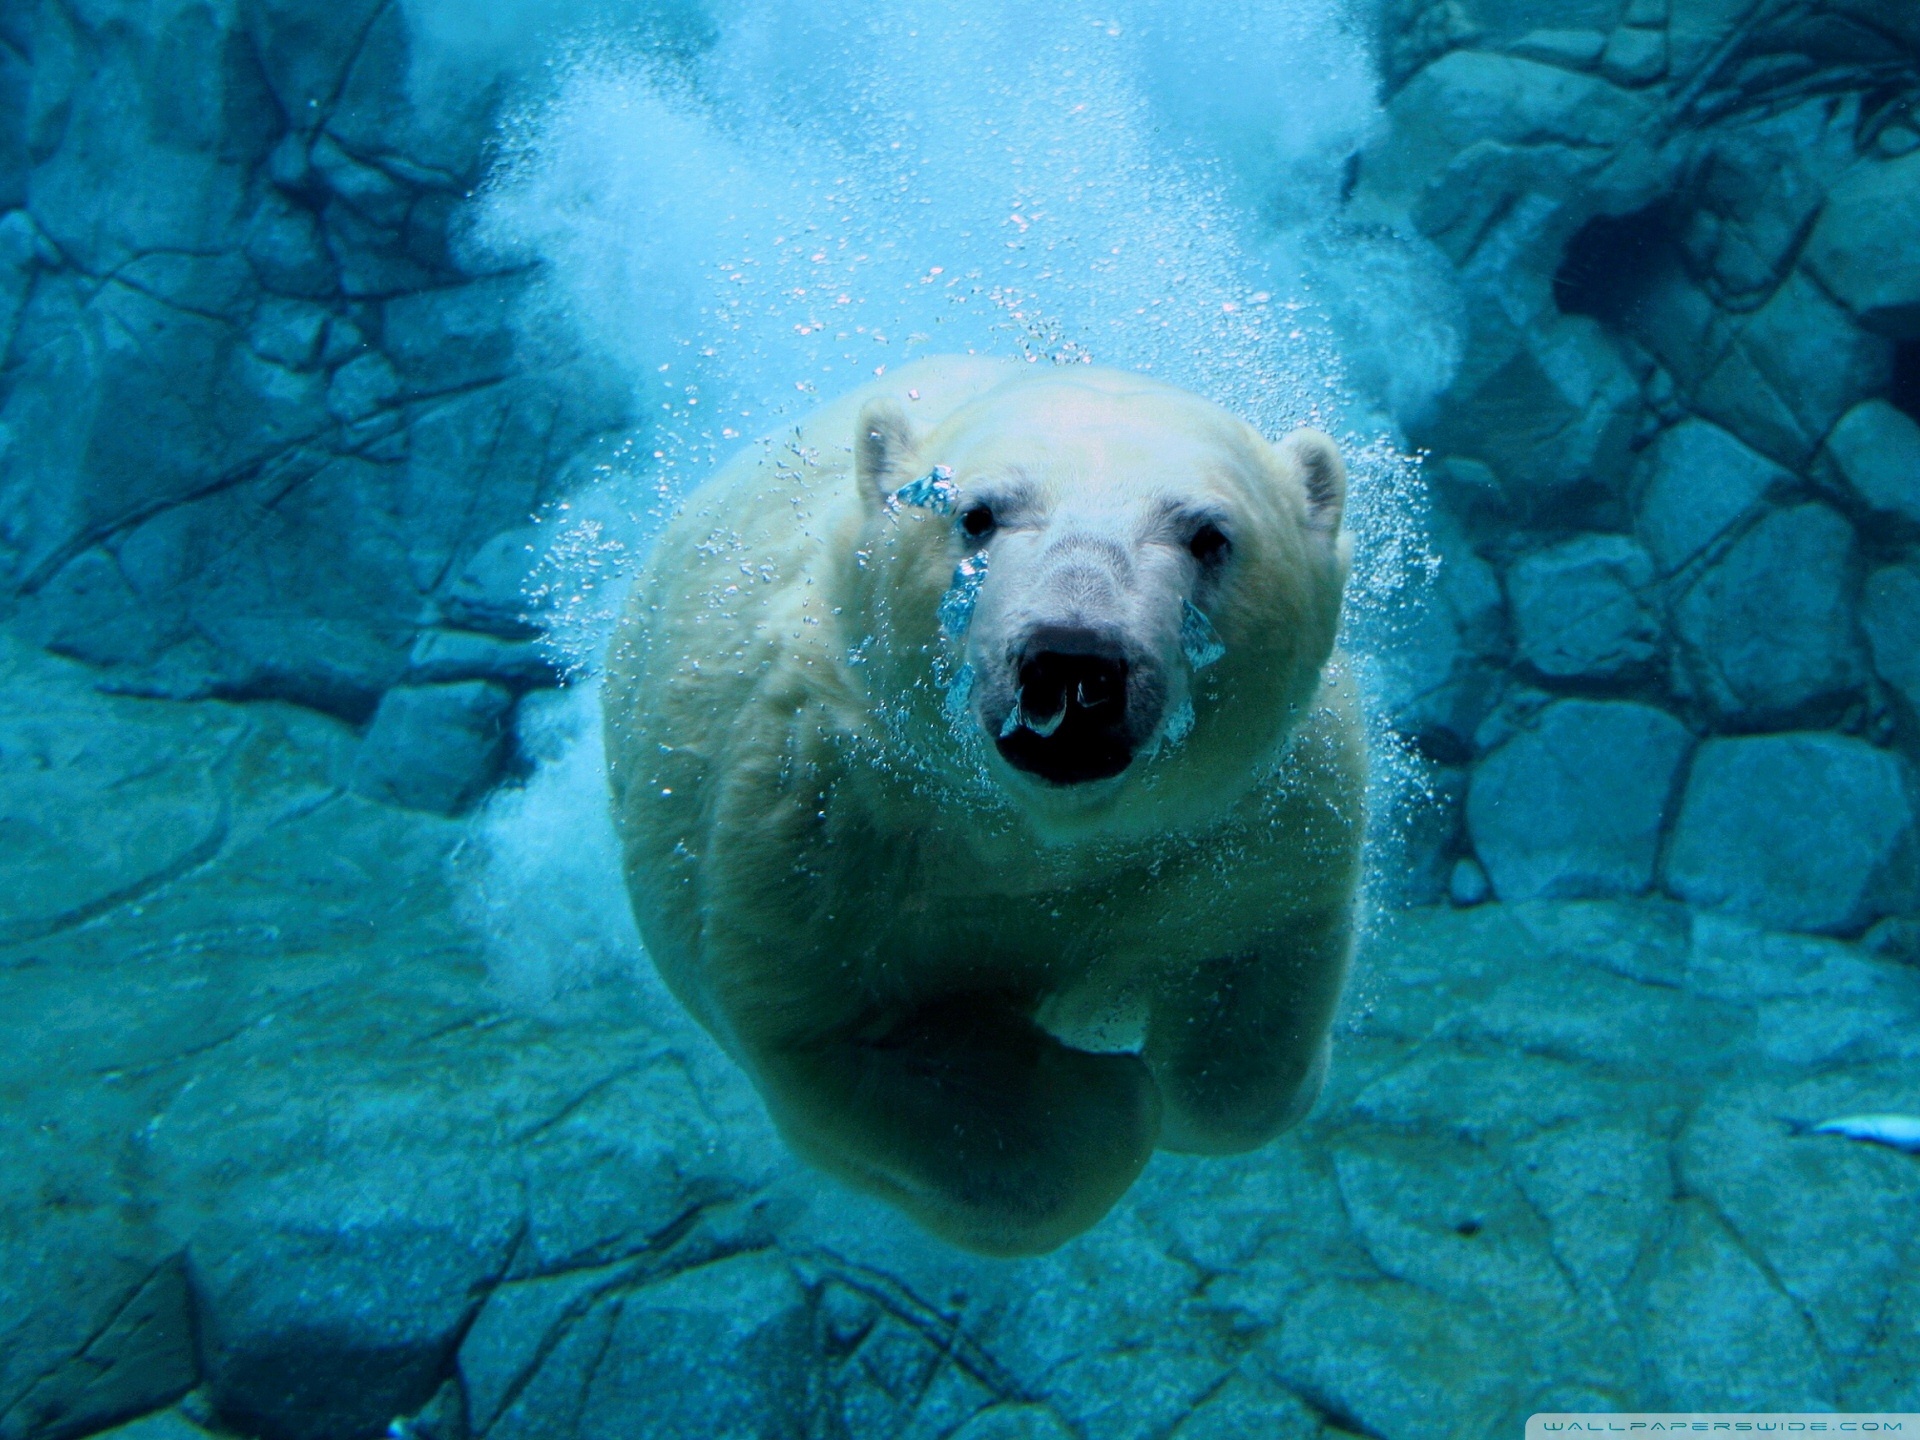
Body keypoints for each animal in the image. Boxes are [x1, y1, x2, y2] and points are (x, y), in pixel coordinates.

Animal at [604, 355, 1364, 1256]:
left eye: (1210, 535)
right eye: (975, 514)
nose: (1074, 661)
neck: (1038, 834)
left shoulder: (1253, 816)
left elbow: (1256, 983)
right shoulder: (820, 823)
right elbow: (845, 1037)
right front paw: (1107, 1096)